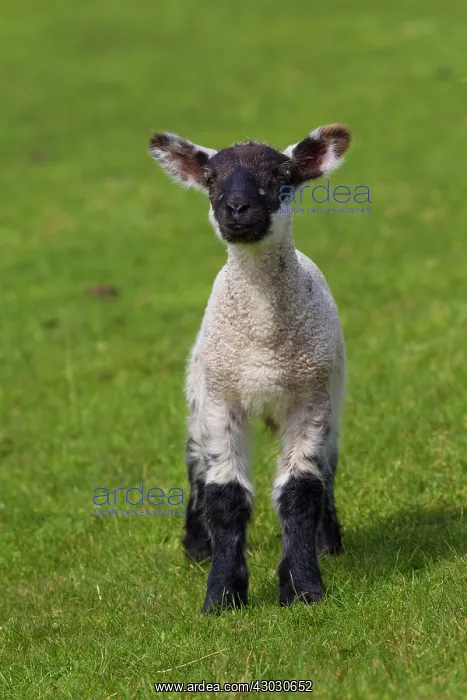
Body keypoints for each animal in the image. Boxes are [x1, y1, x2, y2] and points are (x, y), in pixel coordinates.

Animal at [148, 125, 350, 613]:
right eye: (211, 178)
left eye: (282, 175)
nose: (236, 208)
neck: (263, 342)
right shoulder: (222, 401)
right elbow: (226, 496)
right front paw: (222, 594)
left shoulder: (310, 400)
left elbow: (300, 492)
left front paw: (303, 588)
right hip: (200, 387)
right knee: (194, 460)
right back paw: (196, 545)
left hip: (333, 391)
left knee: (328, 468)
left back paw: (328, 540)